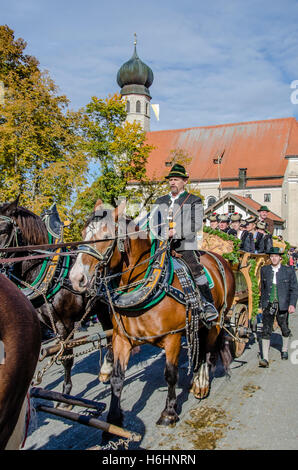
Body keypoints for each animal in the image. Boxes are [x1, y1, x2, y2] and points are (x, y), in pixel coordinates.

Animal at [70, 200, 235, 428]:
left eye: (106, 236)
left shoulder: (173, 337)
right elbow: (117, 377)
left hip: (217, 320)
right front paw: (114, 418)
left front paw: (169, 413)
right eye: (82, 232)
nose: (76, 278)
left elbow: (171, 375)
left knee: (208, 352)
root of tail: (220, 258)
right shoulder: (121, 338)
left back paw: (201, 383)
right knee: (199, 348)